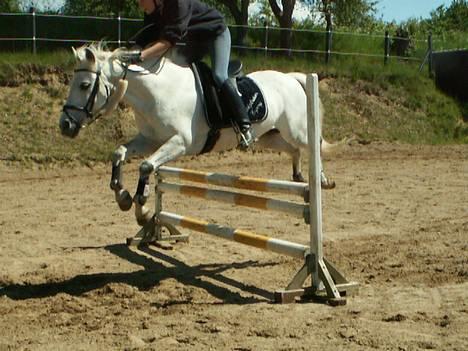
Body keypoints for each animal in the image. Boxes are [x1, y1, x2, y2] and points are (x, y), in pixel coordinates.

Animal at [60, 44, 334, 226]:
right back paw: (298, 176)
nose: (65, 125)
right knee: (295, 150)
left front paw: (142, 210)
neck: (155, 94)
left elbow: (146, 166)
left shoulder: (180, 143)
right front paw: (123, 196)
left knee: (313, 145)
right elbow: (119, 153)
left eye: (84, 85)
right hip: (269, 136)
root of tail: (290, 78)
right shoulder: (150, 140)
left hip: (296, 129)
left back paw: (321, 181)